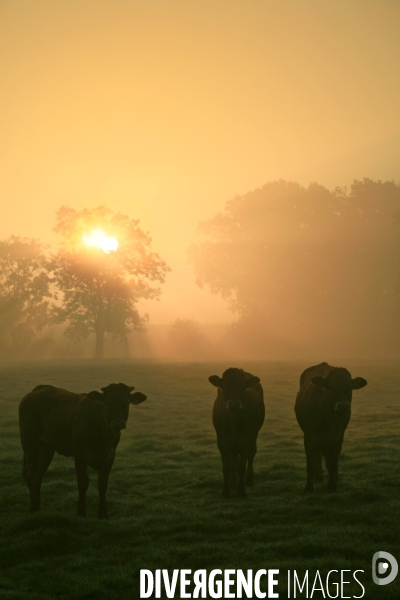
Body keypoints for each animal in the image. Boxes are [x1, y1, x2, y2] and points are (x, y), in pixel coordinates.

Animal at [19, 384, 147, 520]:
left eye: (127, 403)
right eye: (106, 403)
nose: (118, 422)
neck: (101, 436)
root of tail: (37, 390)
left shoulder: (109, 456)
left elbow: (102, 485)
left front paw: (103, 514)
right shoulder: (80, 455)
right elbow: (83, 483)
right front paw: (81, 512)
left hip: (46, 449)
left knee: (39, 475)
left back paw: (38, 507)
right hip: (30, 445)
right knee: (32, 476)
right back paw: (33, 508)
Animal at [208, 368, 264, 500]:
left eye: (243, 387)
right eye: (224, 387)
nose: (234, 404)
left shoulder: (246, 440)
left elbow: (241, 466)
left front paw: (241, 491)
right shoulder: (221, 442)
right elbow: (227, 466)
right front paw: (225, 491)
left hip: (254, 435)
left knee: (251, 452)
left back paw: (248, 479)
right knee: (233, 457)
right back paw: (233, 481)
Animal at [296, 360, 368, 492]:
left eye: (350, 388)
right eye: (330, 387)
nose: (343, 406)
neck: (328, 421)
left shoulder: (338, 438)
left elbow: (332, 463)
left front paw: (332, 486)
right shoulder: (308, 438)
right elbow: (311, 463)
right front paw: (308, 488)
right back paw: (319, 477)